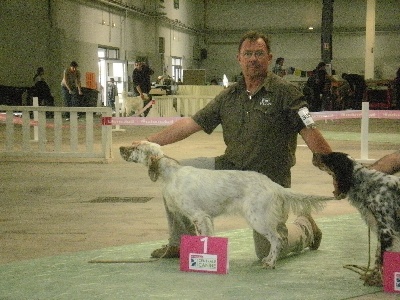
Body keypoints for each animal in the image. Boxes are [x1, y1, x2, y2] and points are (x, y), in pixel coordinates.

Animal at [119, 142, 334, 268]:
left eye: (135, 148)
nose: (121, 148)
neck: (171, 174)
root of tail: (272, 184)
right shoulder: (204, 218)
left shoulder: (199, 216)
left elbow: (204, 238)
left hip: (258, 219)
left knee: (277, 239)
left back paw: (270, 262)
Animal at [312, 152, 400, 286]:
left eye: (329, 156)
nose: (314, 154)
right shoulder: (379, 228)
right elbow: (378, 257)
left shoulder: (386, 230)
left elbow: (382, 259)